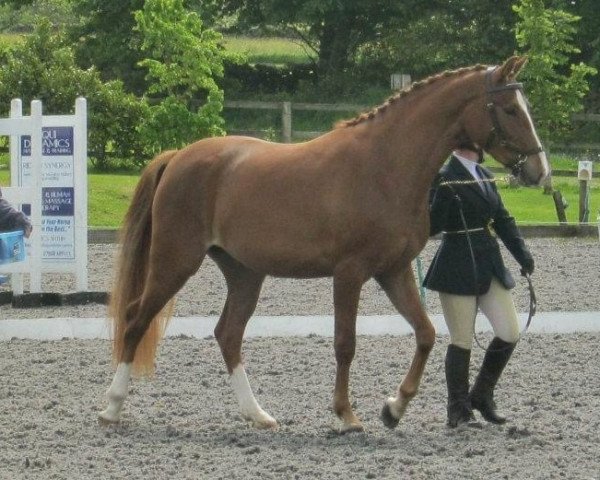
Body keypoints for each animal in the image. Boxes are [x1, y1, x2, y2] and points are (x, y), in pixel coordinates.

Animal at [97, 56, 548, 432]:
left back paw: (257, 415)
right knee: (136, 319)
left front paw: (393, 408)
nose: (539, 170)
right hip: (175, 262)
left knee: (228, 334)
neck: (385, 166)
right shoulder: (349, 274)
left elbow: (426, 334)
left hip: (245, 274)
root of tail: (177, 156)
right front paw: (347, 416)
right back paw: (111, 408)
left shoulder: (393, 271)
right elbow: (345, 343)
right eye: (510, 109)